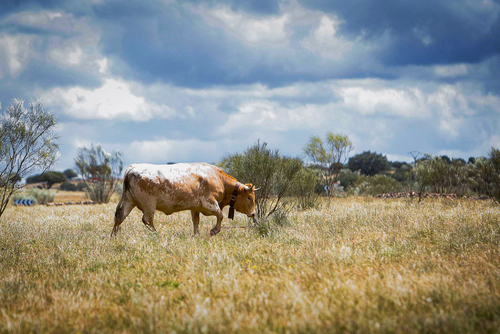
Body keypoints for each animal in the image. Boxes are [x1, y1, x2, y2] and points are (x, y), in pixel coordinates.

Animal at [111, 162, 256, 236]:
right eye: (249, 197)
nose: (253, 213)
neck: (218, 178)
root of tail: (132, 168)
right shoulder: (209, 203)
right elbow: (220, 215)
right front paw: (214, 231)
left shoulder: (195, 207)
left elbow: (196, 222)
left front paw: (196, 235)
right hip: (149, 205)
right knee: (147, 220)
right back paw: (156, 234)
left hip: (128, 200)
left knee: (119, 216)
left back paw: (114, 235)